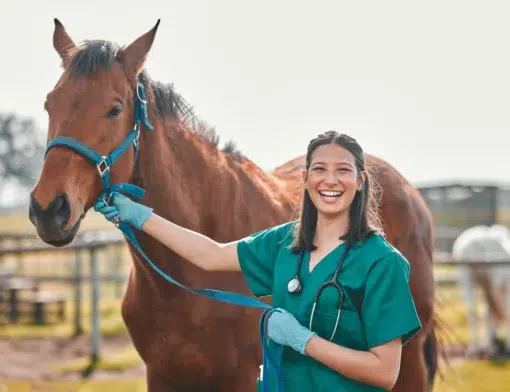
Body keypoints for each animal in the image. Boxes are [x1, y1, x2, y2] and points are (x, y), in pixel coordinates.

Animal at [30, 19, 438, 392]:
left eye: (114, 109)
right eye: (49, 104)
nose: (49, 210)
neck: (184, 286)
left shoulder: (241, 378)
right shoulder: (162, 376)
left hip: (409, 362)